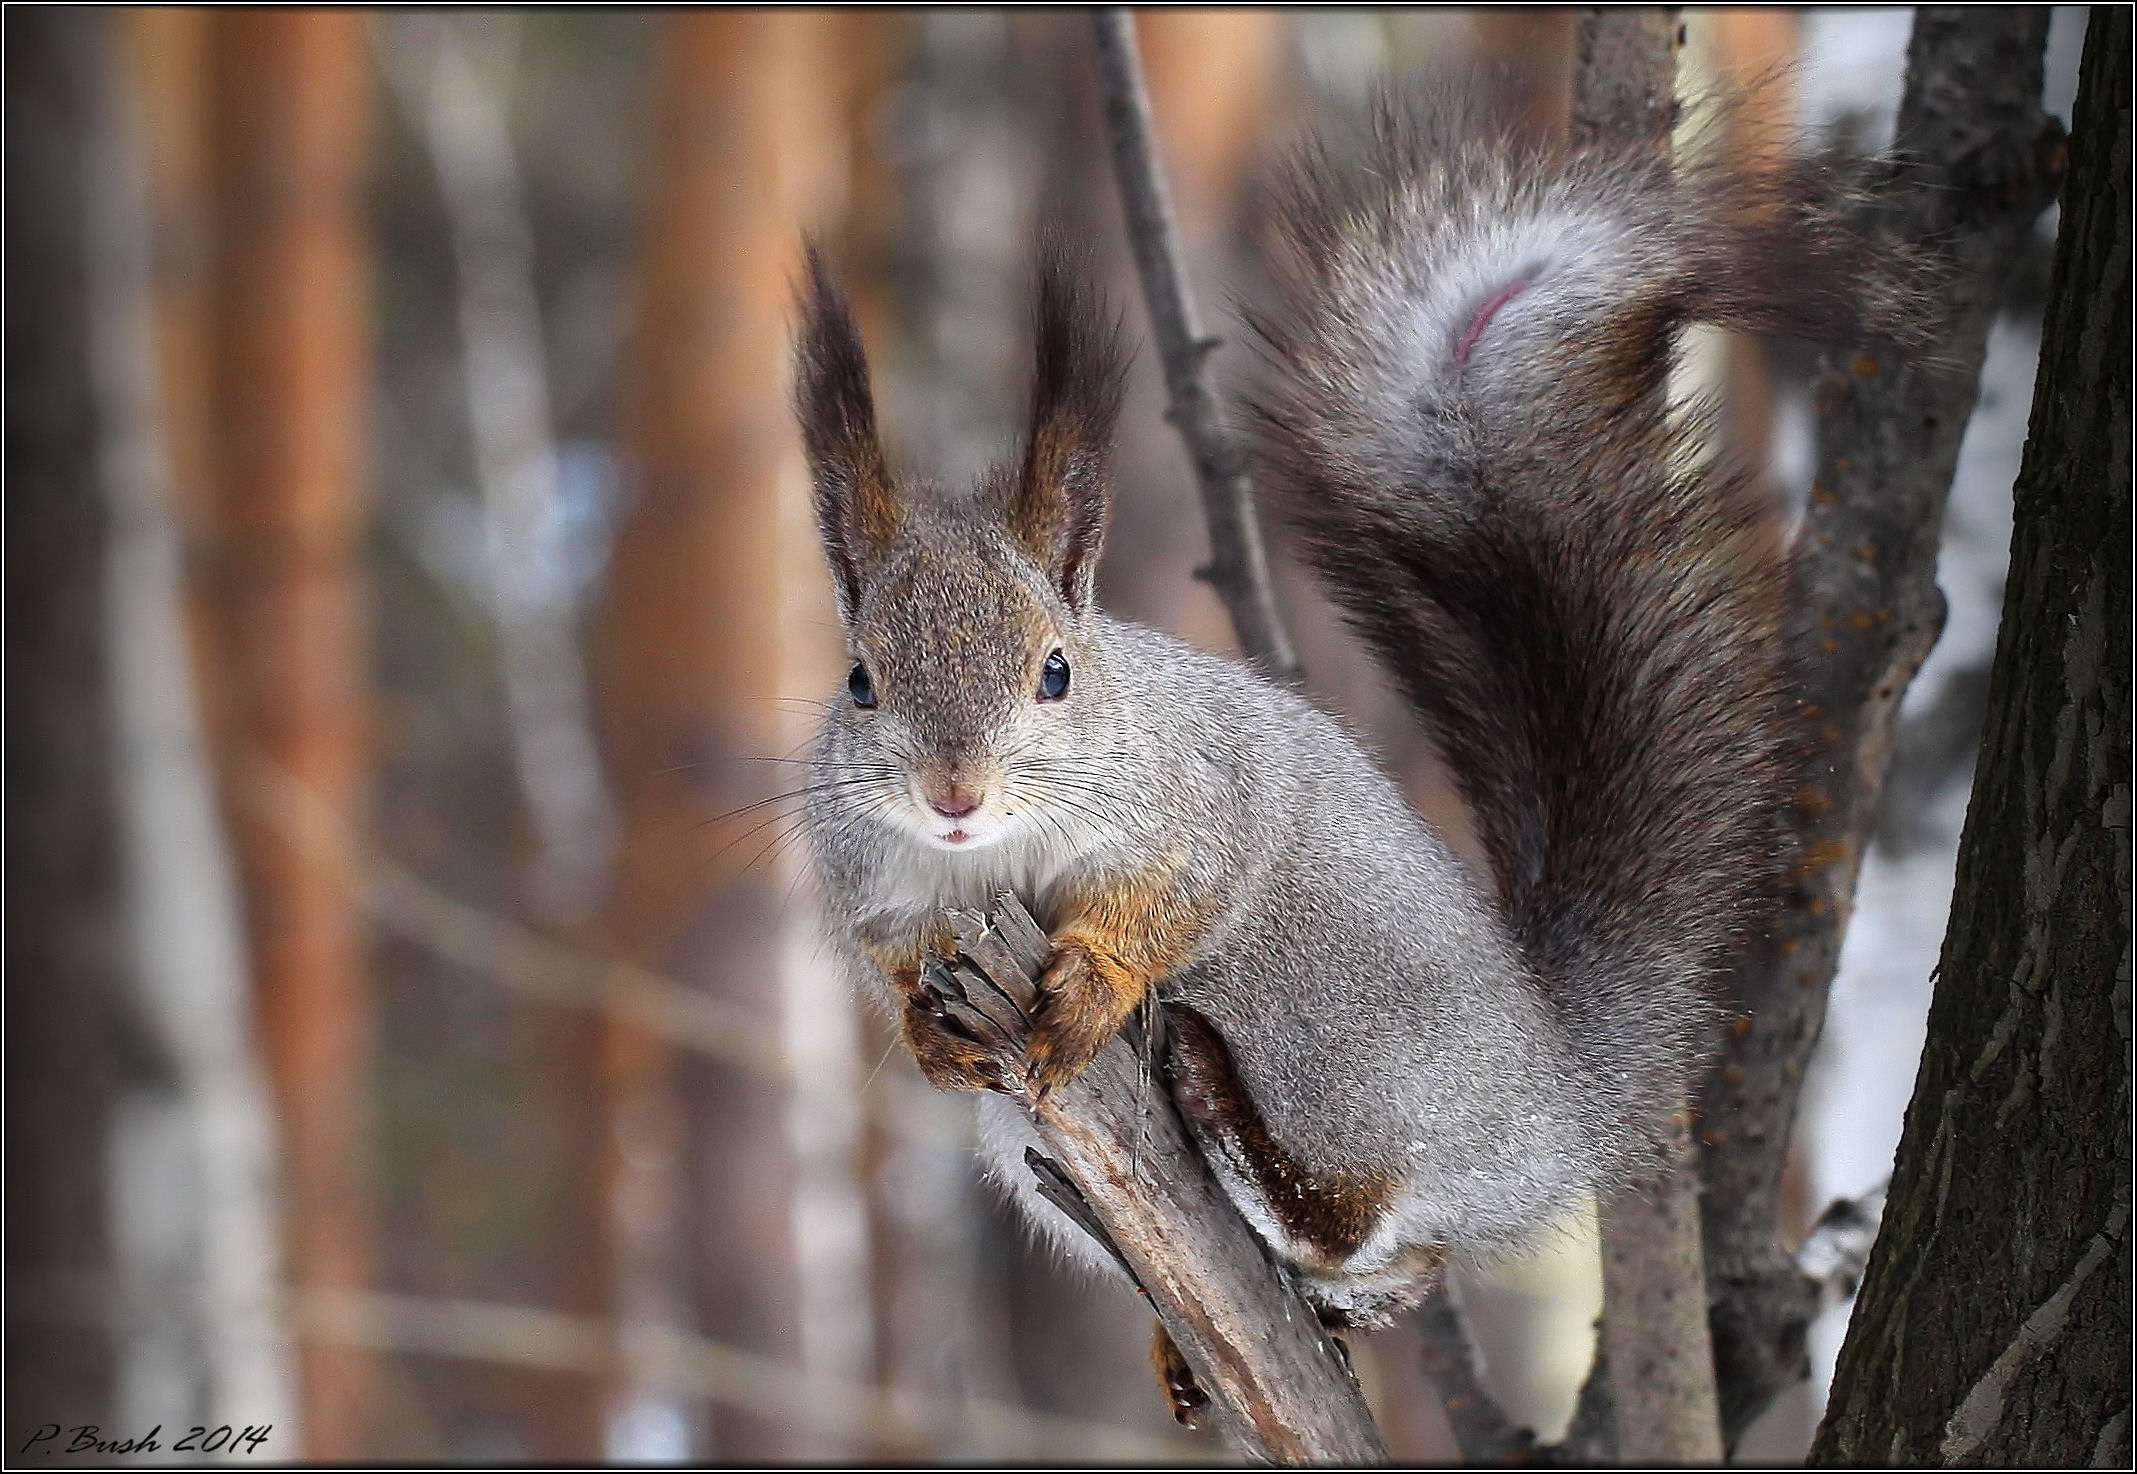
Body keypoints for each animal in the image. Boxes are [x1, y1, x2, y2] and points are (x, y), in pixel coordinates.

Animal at [795, 91, 1896, 1415]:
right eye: (860, 680)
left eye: (1055, 669)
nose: (952, 791)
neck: (987, 859)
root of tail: (1553, 1099)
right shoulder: (871, 883)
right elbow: (894, 962)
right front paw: (923, 1031)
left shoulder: (1201, 803)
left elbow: (1173, 902)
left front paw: (1090, 985)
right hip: (1035, 1149)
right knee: (1394, 1271)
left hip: (1330, 1039)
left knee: (1367, 1216)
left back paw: (1239, 1129)